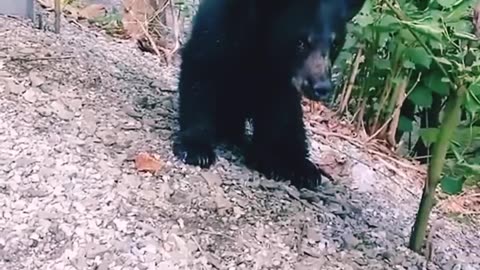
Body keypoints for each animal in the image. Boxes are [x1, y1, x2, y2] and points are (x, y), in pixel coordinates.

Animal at [174, 0, 366, 190]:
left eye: (335, 44)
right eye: (300, 42)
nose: (322, 87)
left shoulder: (280, 81)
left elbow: (278, 113)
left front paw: (269, 160)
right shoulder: (219, 30)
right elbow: (200, 76)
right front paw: (196, 149)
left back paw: (303, 168)